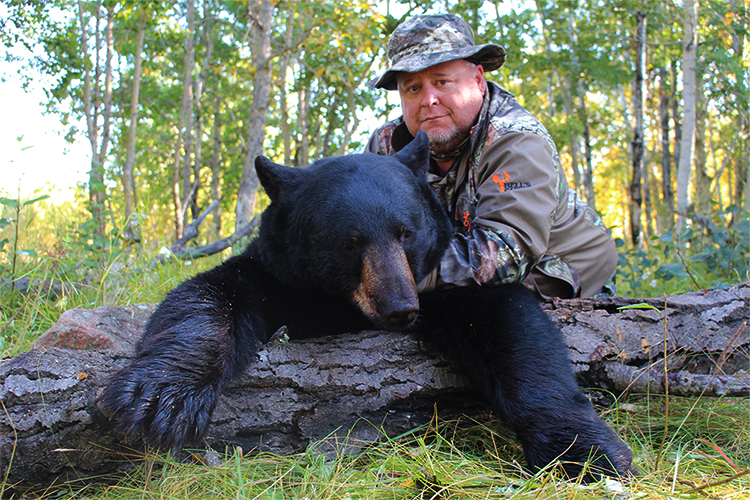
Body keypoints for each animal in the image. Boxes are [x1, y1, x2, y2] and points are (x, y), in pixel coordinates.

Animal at [98, 131, 635, 479]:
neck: (342, 303)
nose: (400, 307)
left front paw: (585, 451)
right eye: (351, 241)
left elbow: (514, 330)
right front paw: (160, 398)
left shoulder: (450, 281)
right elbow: (207, 295)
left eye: (406, 232)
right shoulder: (279, 275)